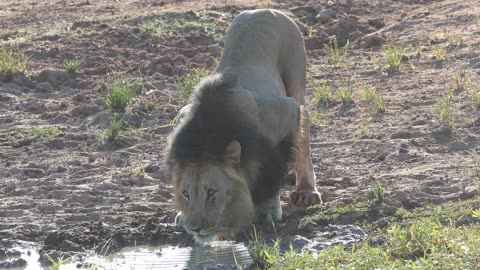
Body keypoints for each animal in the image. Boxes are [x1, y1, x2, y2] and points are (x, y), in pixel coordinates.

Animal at [166, 8, 322, 243]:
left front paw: (267, 208)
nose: (195, 228)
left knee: (303, 137)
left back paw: (306, 191)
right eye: (185, 193)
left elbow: (273, 166)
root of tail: (266, 10)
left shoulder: (283, 111)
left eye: (211, 192)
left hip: (296, 82)